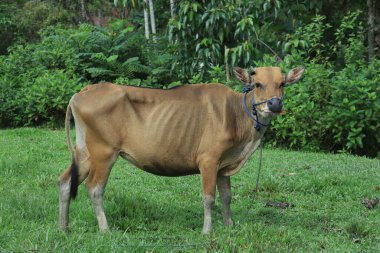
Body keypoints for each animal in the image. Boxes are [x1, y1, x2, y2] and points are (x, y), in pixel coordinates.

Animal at [58, 66, 304, 234]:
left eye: (282, 84)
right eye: (257, 84)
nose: (274, 104)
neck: (236, 115)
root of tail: (82, 92)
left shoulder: (224, 165)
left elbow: (227, 197)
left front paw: (229, 225)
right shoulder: (208, 160)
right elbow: (209, 198)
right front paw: (207, 231)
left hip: (85, 153)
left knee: (65, 181)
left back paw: (63, 226)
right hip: (104, 153)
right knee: (94, 188)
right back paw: (105, 228)